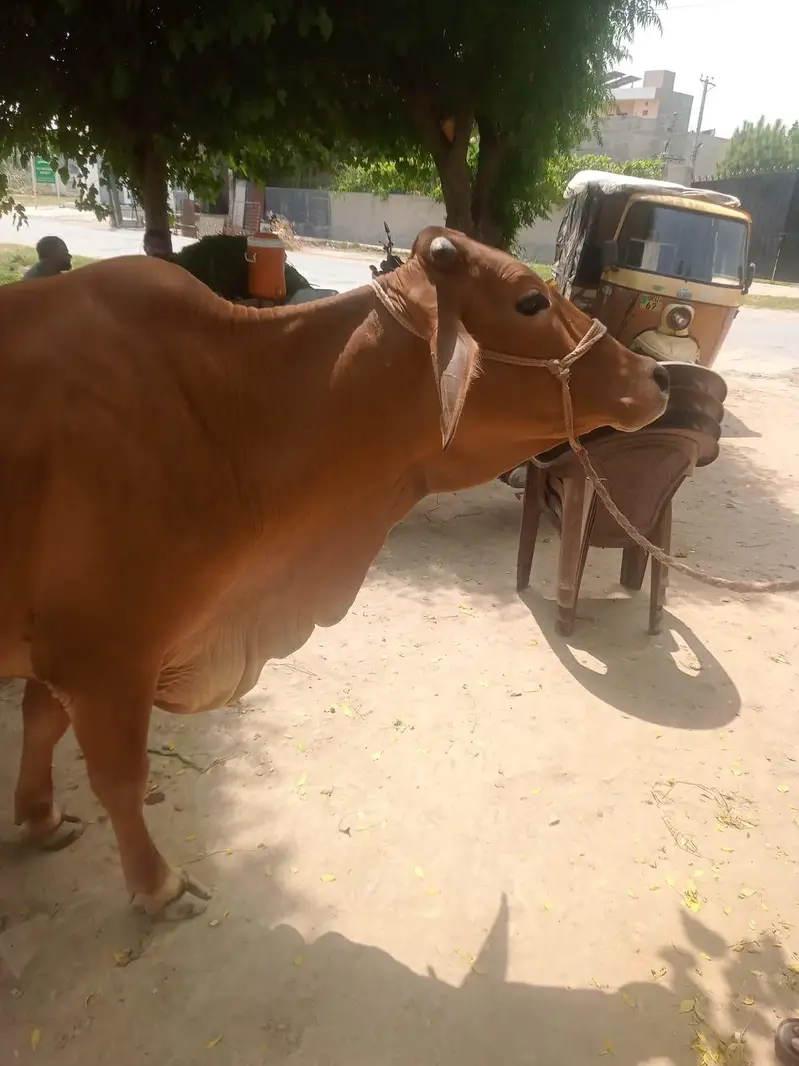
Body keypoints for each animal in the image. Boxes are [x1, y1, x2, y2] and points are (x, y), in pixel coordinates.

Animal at [0, 227, 668, 919]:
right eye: (531, 301)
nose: (659, 375)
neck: (230, 417)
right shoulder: (105, 656)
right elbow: (119, 777)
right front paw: (159, 884)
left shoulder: (69, 654)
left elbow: (42, 724)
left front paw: (40, 816)